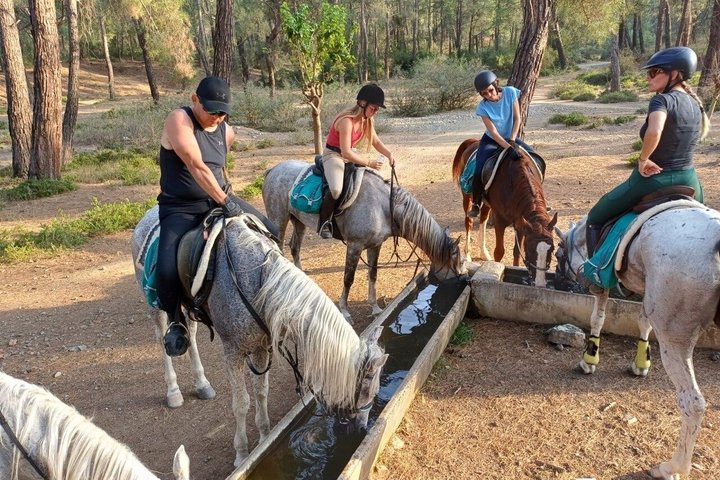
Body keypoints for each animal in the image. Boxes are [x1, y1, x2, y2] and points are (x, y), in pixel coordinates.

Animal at [132, 206, 388, 467]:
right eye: (367, 390)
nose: (362, 429)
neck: (260, 283)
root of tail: (148, 214)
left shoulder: (260, 349)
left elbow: (261, 392)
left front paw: (264, 437)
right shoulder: (233, 352)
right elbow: (241, 403)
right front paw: (242, 454)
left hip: (189, 306)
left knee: (191, 334)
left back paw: (202, 384)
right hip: (156, 305)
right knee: (163, 337)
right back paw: (173, 392)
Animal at [262, 160, 467, 321]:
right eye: (458, 265)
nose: (465, 280)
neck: (383, 207)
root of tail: (273, 169)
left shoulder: (375, 245)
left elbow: (373, 274)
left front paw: (375, 308)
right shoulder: (355, 246)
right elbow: (348, 278)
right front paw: (345, 311)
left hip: (298, 221)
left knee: (294, 247)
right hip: (278, 220)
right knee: (277, 248)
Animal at [451, 138, 557, 287]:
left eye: (552, 249)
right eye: (530, 249)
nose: (540, 283)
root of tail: (473, 142)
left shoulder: (521, 222)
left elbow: (517, 252)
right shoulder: (500, 221)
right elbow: (499, 252)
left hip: (487, 204)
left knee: (483, 218)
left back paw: (484, 253)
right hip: (467, 196)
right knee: (469, 222)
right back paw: (468, 255)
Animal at [554, 204, 720, 479]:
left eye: (558, 255)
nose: (560, 278)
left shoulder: (601, 286)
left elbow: (597, 317)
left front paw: (589, 360)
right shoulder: (645, 289)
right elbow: (643, 321)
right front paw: (641, 364)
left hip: (675, 339)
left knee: (692, 403)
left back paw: (672, 467)